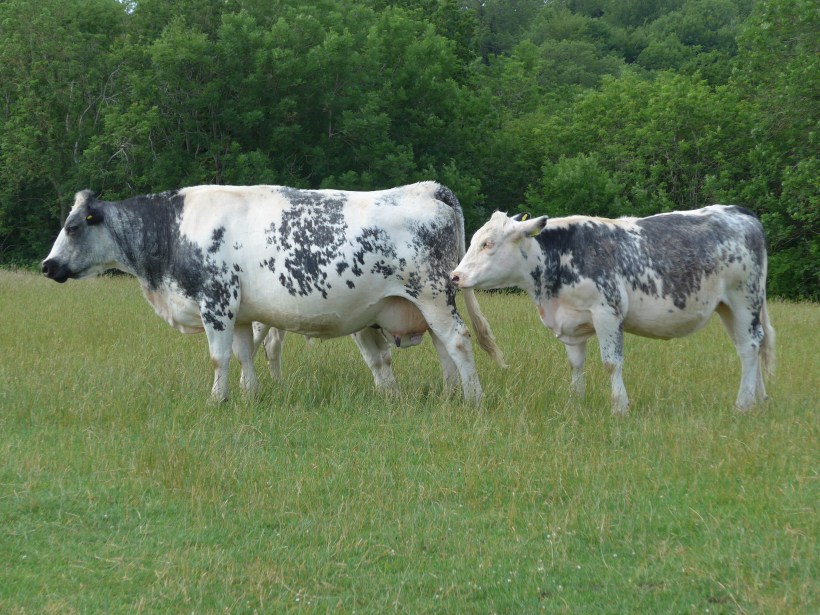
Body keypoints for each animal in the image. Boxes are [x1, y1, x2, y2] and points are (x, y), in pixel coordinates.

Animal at [42, 182, 505, 402]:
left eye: (73, 226)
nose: (47, 265)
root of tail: (427, 188)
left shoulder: (216, 303)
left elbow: (218, 357)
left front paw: (216, 400)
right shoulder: (242, 313)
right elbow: (245, 355)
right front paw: (249, 396)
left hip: (431, 294)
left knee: (458, 341)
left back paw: (473, 399)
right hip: (424, 304)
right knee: (444, 348)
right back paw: (450, 395)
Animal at [451, 206, 775, 414]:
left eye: (488, 243)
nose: (455, 275)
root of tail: (739, 211)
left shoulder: (607, 312)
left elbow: (611, 363)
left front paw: (620, 406)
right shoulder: (571, 322)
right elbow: (575, 365)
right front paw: (576, 402)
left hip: (744, 298)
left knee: (749, 347)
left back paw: (743, 404)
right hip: (728, 307)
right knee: (750, 345)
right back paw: (758, 400)